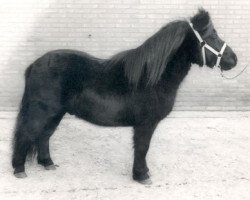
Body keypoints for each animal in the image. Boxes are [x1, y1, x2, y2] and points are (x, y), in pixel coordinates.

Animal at [12, 9, 237, 184]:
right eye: (212, 36)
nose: (233, 59)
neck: (152, 77)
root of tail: (34, 64)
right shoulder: (146, 124)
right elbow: (142, 148)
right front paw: (141, 175)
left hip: (56, 113)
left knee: (44, 135)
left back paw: (48, 163)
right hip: (42, 111)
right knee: (26, 134)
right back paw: (19, 170)